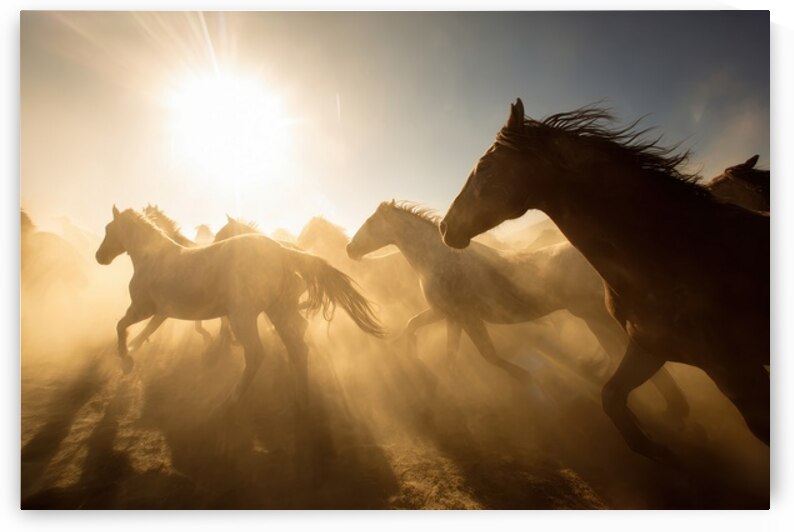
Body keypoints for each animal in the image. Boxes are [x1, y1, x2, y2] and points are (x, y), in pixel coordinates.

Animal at [95, 206, 385, 403]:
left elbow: (121, 326)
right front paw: (133, 351)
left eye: (108, 229)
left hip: (244, 316)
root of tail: (282, 250)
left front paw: (126, 361)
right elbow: (143, 330)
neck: (154, 258)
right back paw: (301, 392)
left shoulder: (143, 308)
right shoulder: (163, 312)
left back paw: (234, 395)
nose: (99, 257)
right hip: (277, 310)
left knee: (257, 353)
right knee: (298, 346)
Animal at [346, 200, 689, 414]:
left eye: (370, 222)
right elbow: (427, 336)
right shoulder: (450, 316)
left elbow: (487, 354)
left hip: (596, 317)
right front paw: (427, 372)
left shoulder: (467, 317)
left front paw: (528, 381)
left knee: (624, 350)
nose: (349, 249)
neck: (439, 260)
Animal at [440, 99, 769, 458]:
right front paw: (658, 444)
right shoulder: (649, 349)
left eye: (485, 166)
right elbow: (611, 396)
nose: (445, 226)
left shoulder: (735, 371)